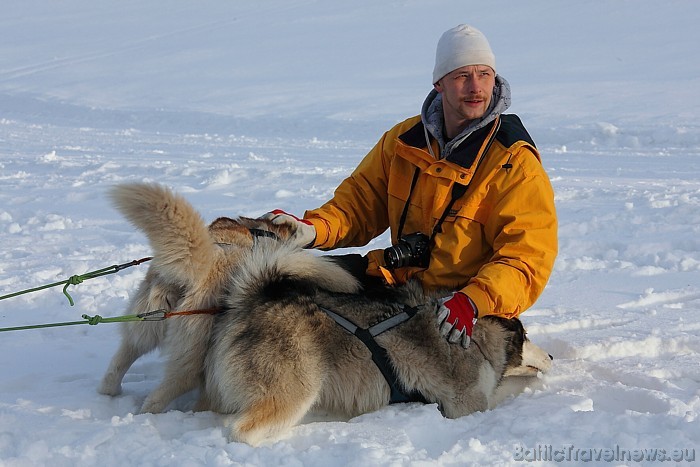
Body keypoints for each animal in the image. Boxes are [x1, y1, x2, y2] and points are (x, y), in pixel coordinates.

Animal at [98, 183, 552, 446]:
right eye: (527, 338)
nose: (550, 356)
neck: (474, 339)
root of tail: (252, 294)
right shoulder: (466, 404)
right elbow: (497, 396)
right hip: (292, 388)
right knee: (238, 431)